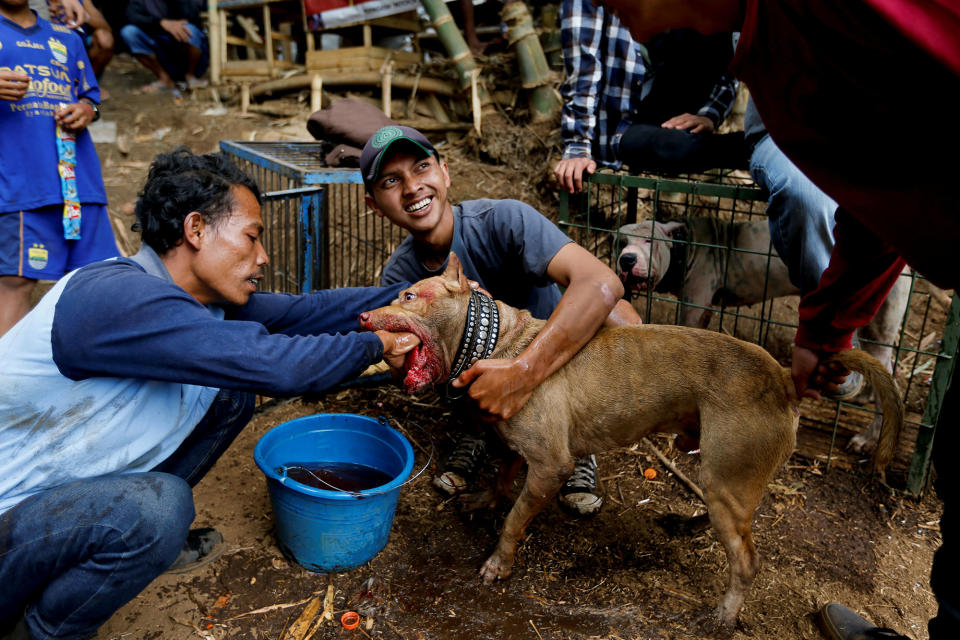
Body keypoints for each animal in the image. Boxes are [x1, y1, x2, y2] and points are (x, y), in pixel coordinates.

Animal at [356, 252, 904, 632]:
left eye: (409, 297)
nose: (361, 318)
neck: (498, 343)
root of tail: (785, 379)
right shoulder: (516, 443)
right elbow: (505, 471)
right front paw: (485, 496)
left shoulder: (551, 465)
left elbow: (514, 519)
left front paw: (498, 562)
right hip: (722, 471)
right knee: (732, 520)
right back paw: (688, 525)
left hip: (728, 472)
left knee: (746, 559)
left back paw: (723, 615)